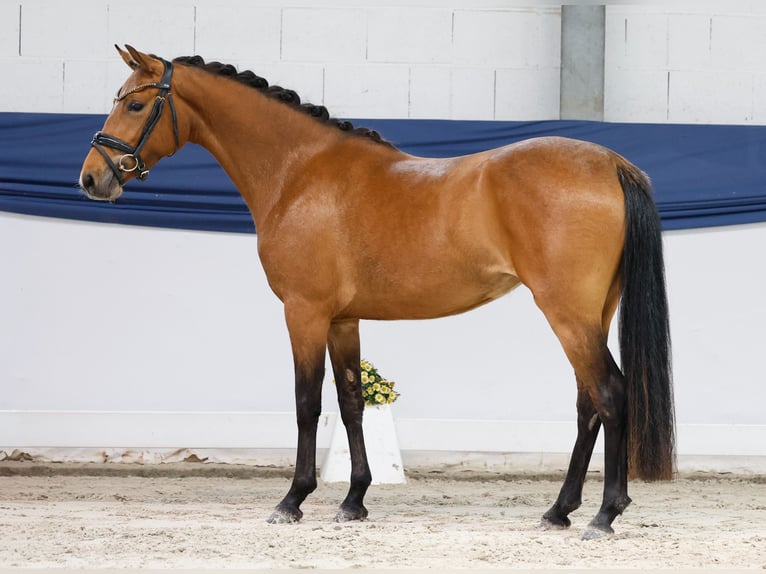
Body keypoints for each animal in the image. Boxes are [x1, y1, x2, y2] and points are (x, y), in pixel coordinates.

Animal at [79, 45, 675, 540]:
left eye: (136, 105)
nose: (91, 179)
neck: (299, 173)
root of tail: (611, 163)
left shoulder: (304, 313)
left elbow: (306, 402)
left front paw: (292, 500)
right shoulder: (343, 320)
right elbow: (350, 403)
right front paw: (354, 500)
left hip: (567, 314)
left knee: (611, 394)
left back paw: (603, 514)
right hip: (592, 314)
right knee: (587, 403)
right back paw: (559, 510)